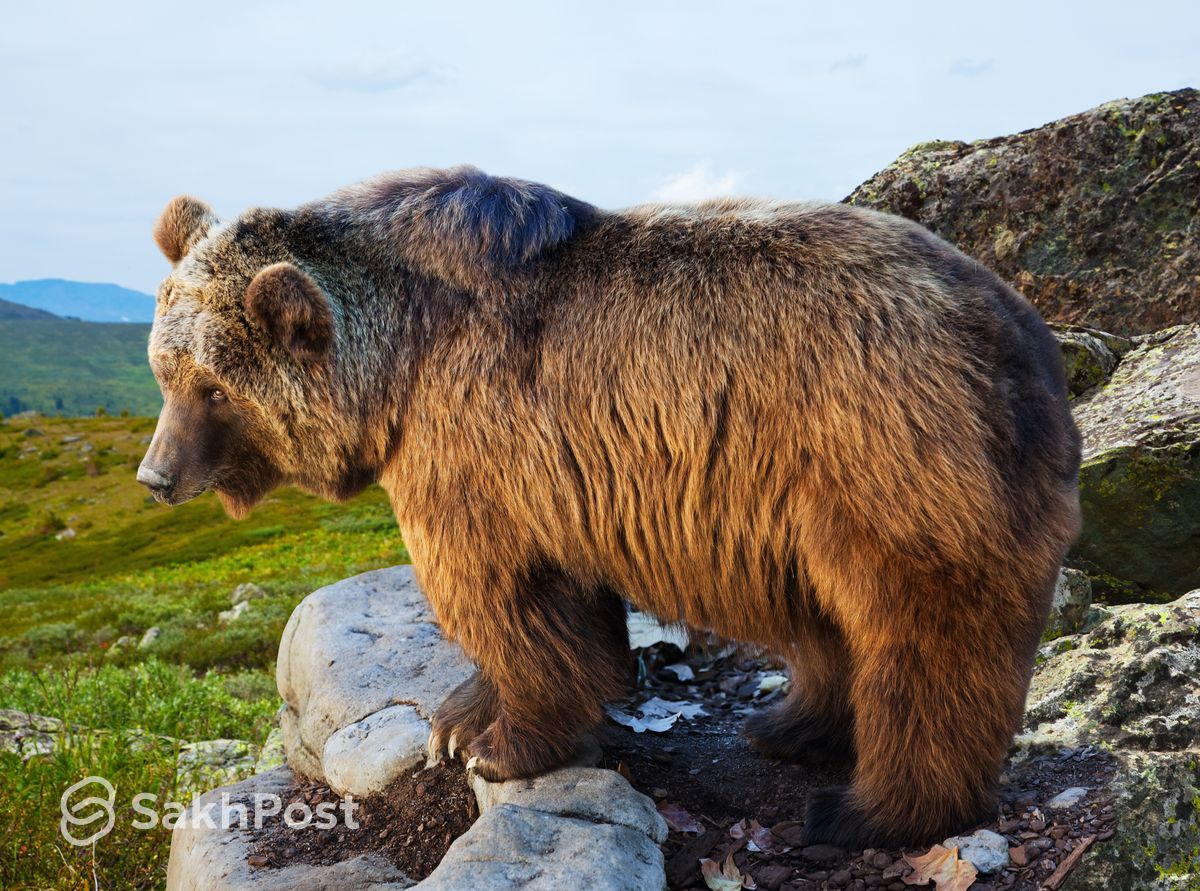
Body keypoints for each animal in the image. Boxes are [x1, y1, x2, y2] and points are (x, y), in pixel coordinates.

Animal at [138, 164, 1080, 850]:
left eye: (214, 388)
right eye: (165, 369)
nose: (155, 476)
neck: (397, 359)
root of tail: (1027, 338)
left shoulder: (473, 445)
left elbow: (502, 596)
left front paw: (502, 743)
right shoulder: (551, 474)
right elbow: (550, 605)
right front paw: (457, 720)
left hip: (883, 453)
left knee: (922, 637)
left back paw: (868, 810)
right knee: (832, 621)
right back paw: (787, 724)